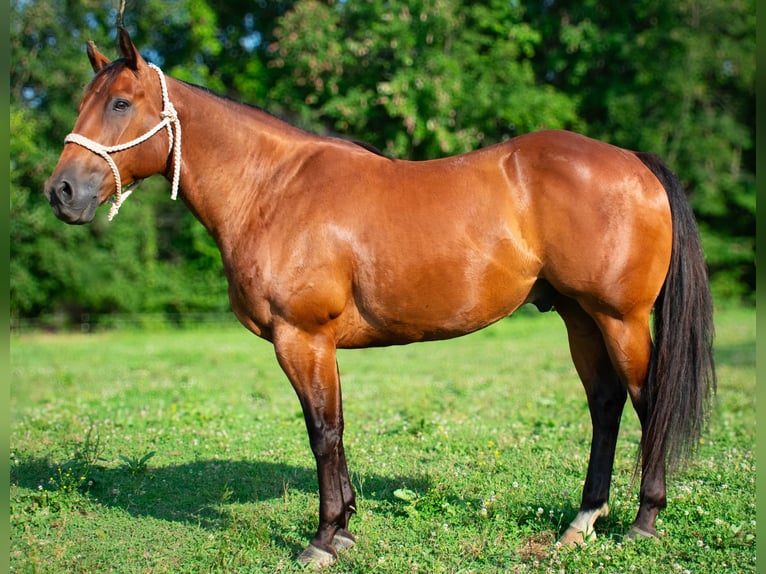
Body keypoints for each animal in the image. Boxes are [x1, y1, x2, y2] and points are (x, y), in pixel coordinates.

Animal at [43, 29, 720, 568]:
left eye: (120, 103)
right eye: (83, 103)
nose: (62, 192)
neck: (272, 189)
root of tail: (634, 161)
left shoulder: (302, 336)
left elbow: (321, 432)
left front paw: (321, 540)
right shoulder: (318, 344)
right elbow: (336, 428)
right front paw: (344, 528)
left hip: (620, 318)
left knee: (648, 401)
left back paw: (643, 522)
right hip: (581, 318)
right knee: (605, 405)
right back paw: (582, 522)